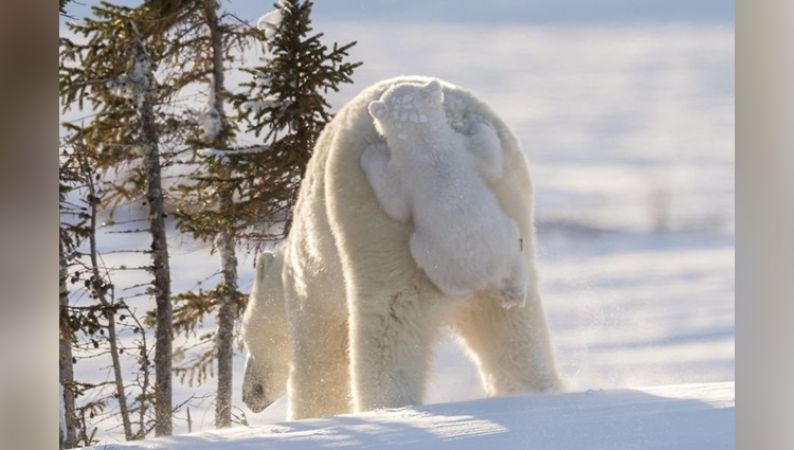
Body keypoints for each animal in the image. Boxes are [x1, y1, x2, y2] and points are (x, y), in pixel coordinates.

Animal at [362, 79, 528, 308]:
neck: (427, 146)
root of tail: (487, 275)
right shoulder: (455, 154)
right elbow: (490, 161)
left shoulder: (417, 167)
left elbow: (396, 205)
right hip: (497, 246)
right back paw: (515, 296)